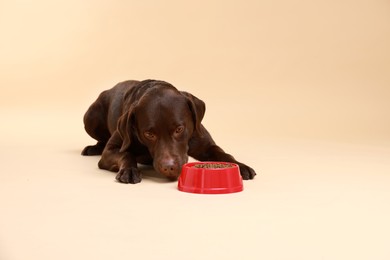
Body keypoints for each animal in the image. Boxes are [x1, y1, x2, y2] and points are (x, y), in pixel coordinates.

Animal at [81, 79, 256, 183]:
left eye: (179, 129)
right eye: (149, 134)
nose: (169, 167)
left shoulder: (206, 145)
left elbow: (223, 154)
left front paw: (241, 166)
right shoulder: (111, 150)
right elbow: (126, 154)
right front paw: (130, 170)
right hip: (90, 117)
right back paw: (92, 148)